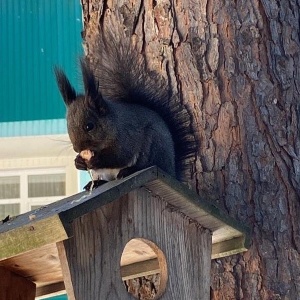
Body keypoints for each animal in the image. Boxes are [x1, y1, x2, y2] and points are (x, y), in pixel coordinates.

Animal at [54, 34, 197, 189]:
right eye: (68, 126)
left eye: (89, 126)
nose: (77, 148)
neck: (113, 125)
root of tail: (172, 171)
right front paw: (78, 162)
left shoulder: (127, 137)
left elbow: (119, 156)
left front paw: (95, 161)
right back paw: (97, 182)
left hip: (154, 146)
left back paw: (129, 170)